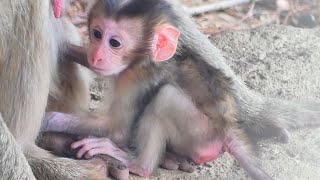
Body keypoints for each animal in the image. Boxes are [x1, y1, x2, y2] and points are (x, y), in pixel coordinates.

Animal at [42, 0, 272, 179]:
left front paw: (48, 119)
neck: (144, 60)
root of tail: (228, 129)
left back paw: (136, 164)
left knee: (165, 98)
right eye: (96, 34)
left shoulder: (136, 80)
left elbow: (117, 130)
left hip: (201, 134)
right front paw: (65, 47)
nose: (96, 56)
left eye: (114, 43)